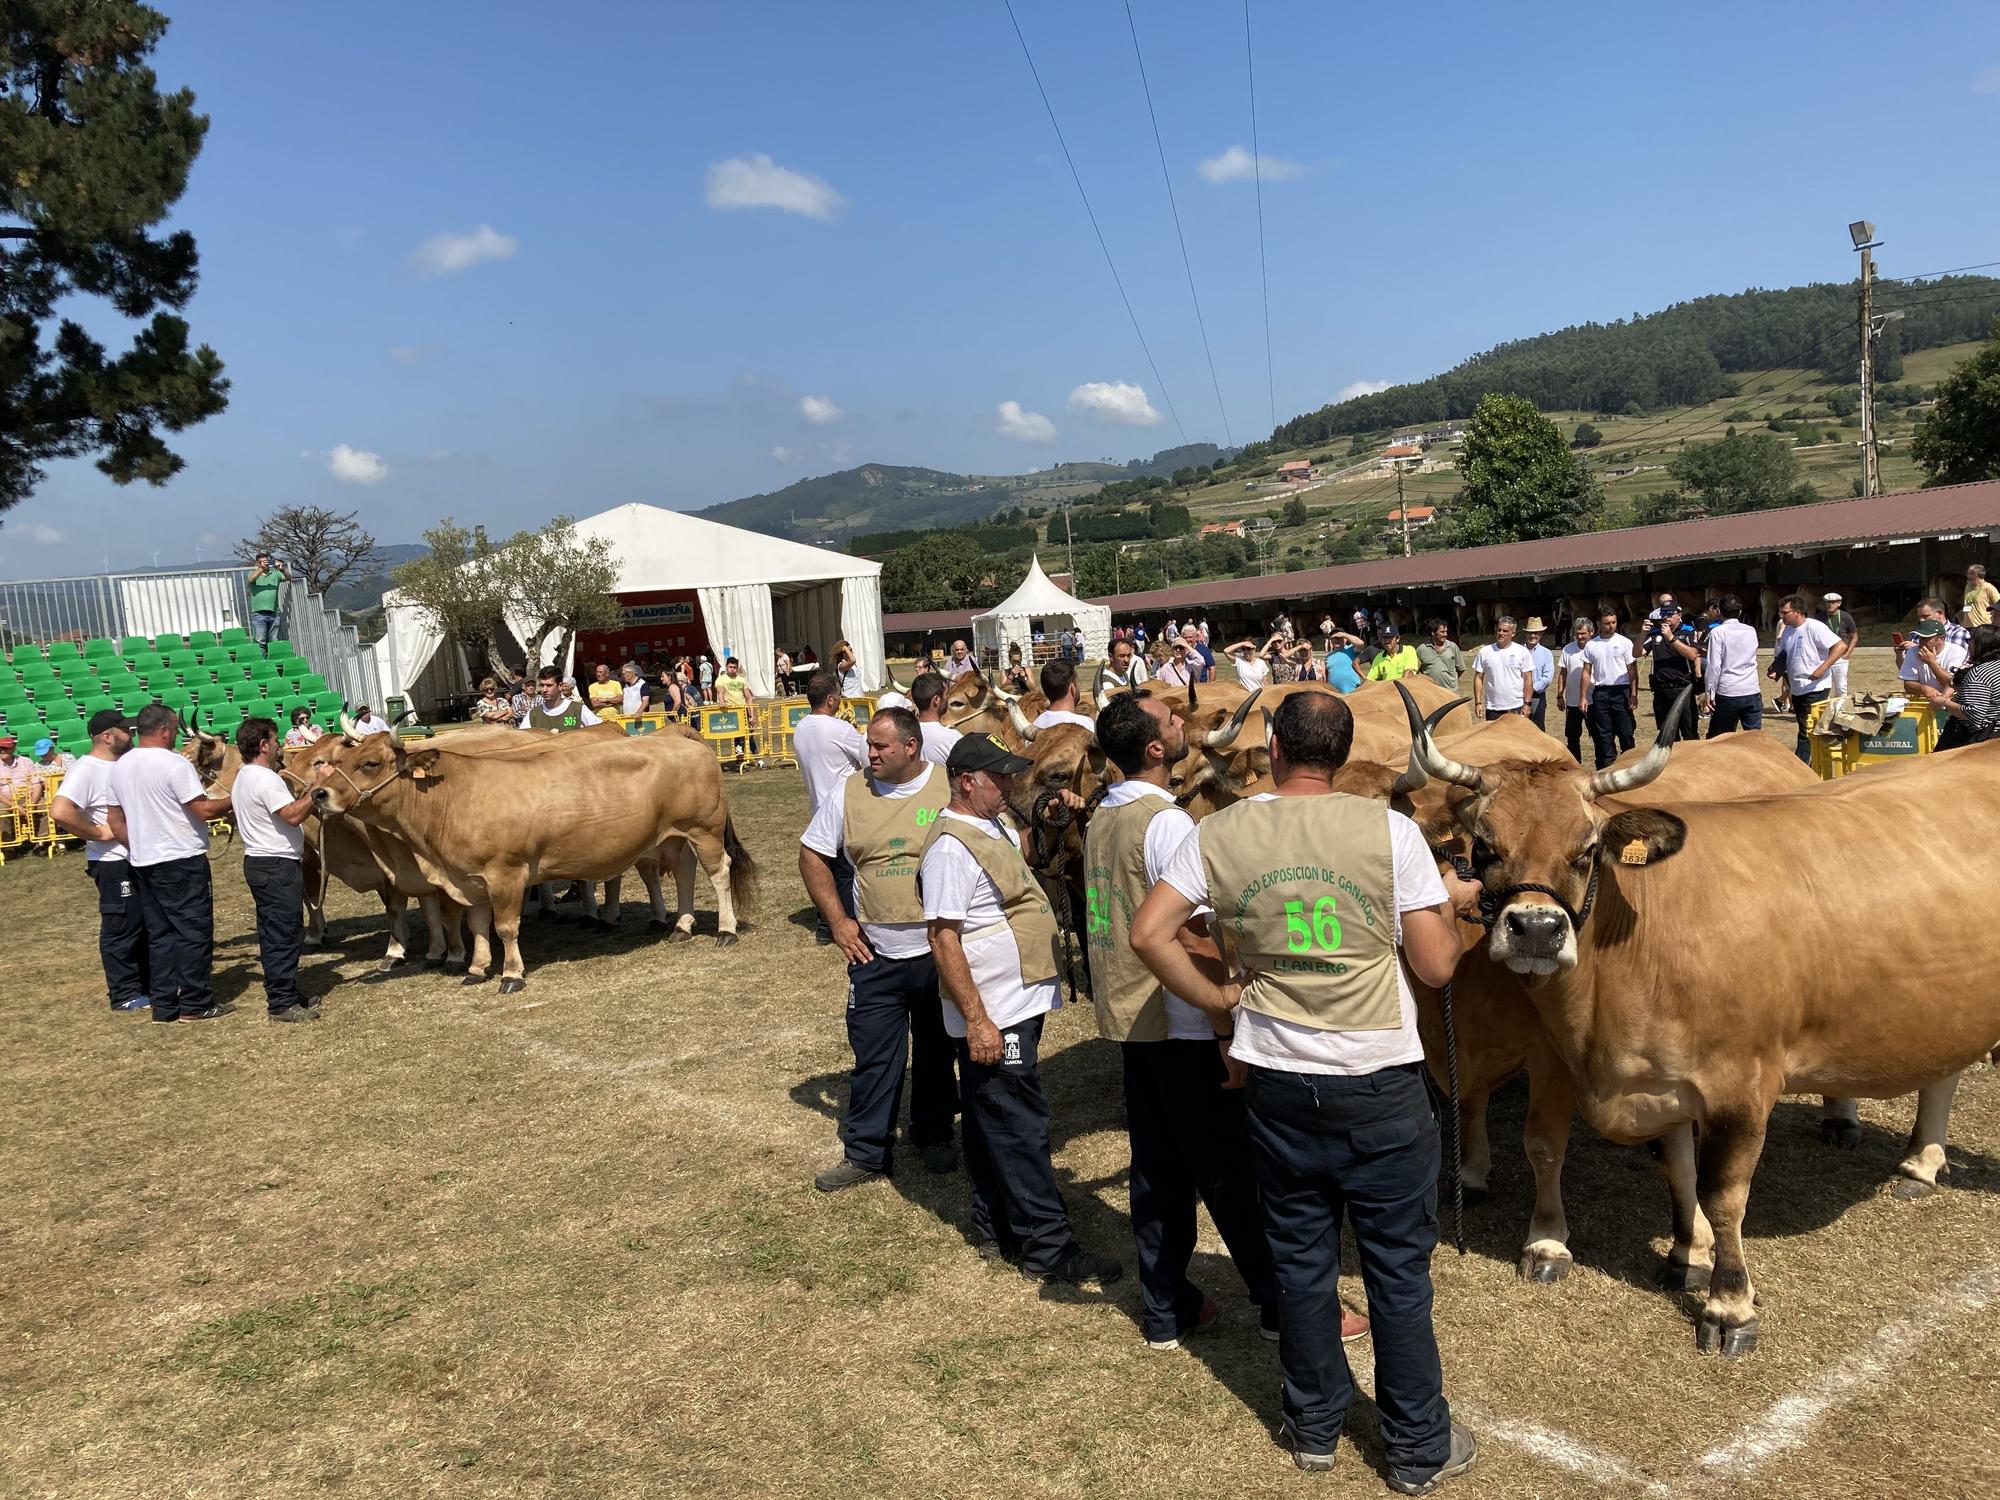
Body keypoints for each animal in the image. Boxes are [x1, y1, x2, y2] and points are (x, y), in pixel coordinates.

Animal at [1400, 704, 2000, 1360]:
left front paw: (1730, 1304)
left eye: (1588, 849)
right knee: (1944, 1072)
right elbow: (1677, 1169)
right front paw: (1688, 1255)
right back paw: (1920, 1162)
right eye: (1484, 846)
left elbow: (1723, 1192)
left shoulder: (1741, 1086)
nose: (1536, 929)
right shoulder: (1657, 1081)